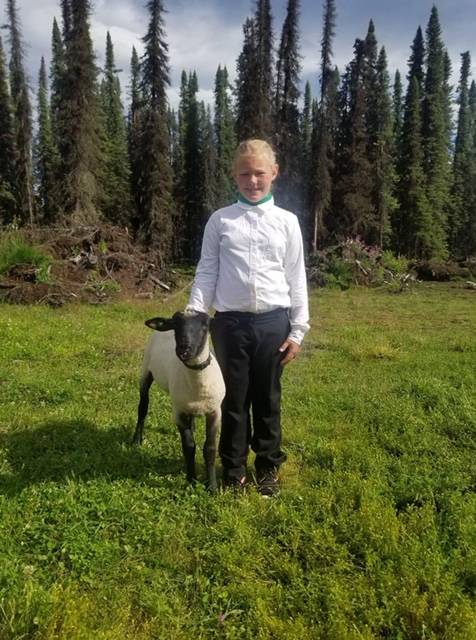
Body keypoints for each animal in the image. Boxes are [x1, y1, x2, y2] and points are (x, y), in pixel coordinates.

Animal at [132, 310, 225, 492]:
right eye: (176, 325)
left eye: (205, 325)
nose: (184, 349)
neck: (198, 386)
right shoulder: (178, 412)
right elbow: (189, 446)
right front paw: (191, 481)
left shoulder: (215, 411)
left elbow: (210, 448)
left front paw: (212, 486)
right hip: (146, 370)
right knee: (143, 407)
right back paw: (137, 440)